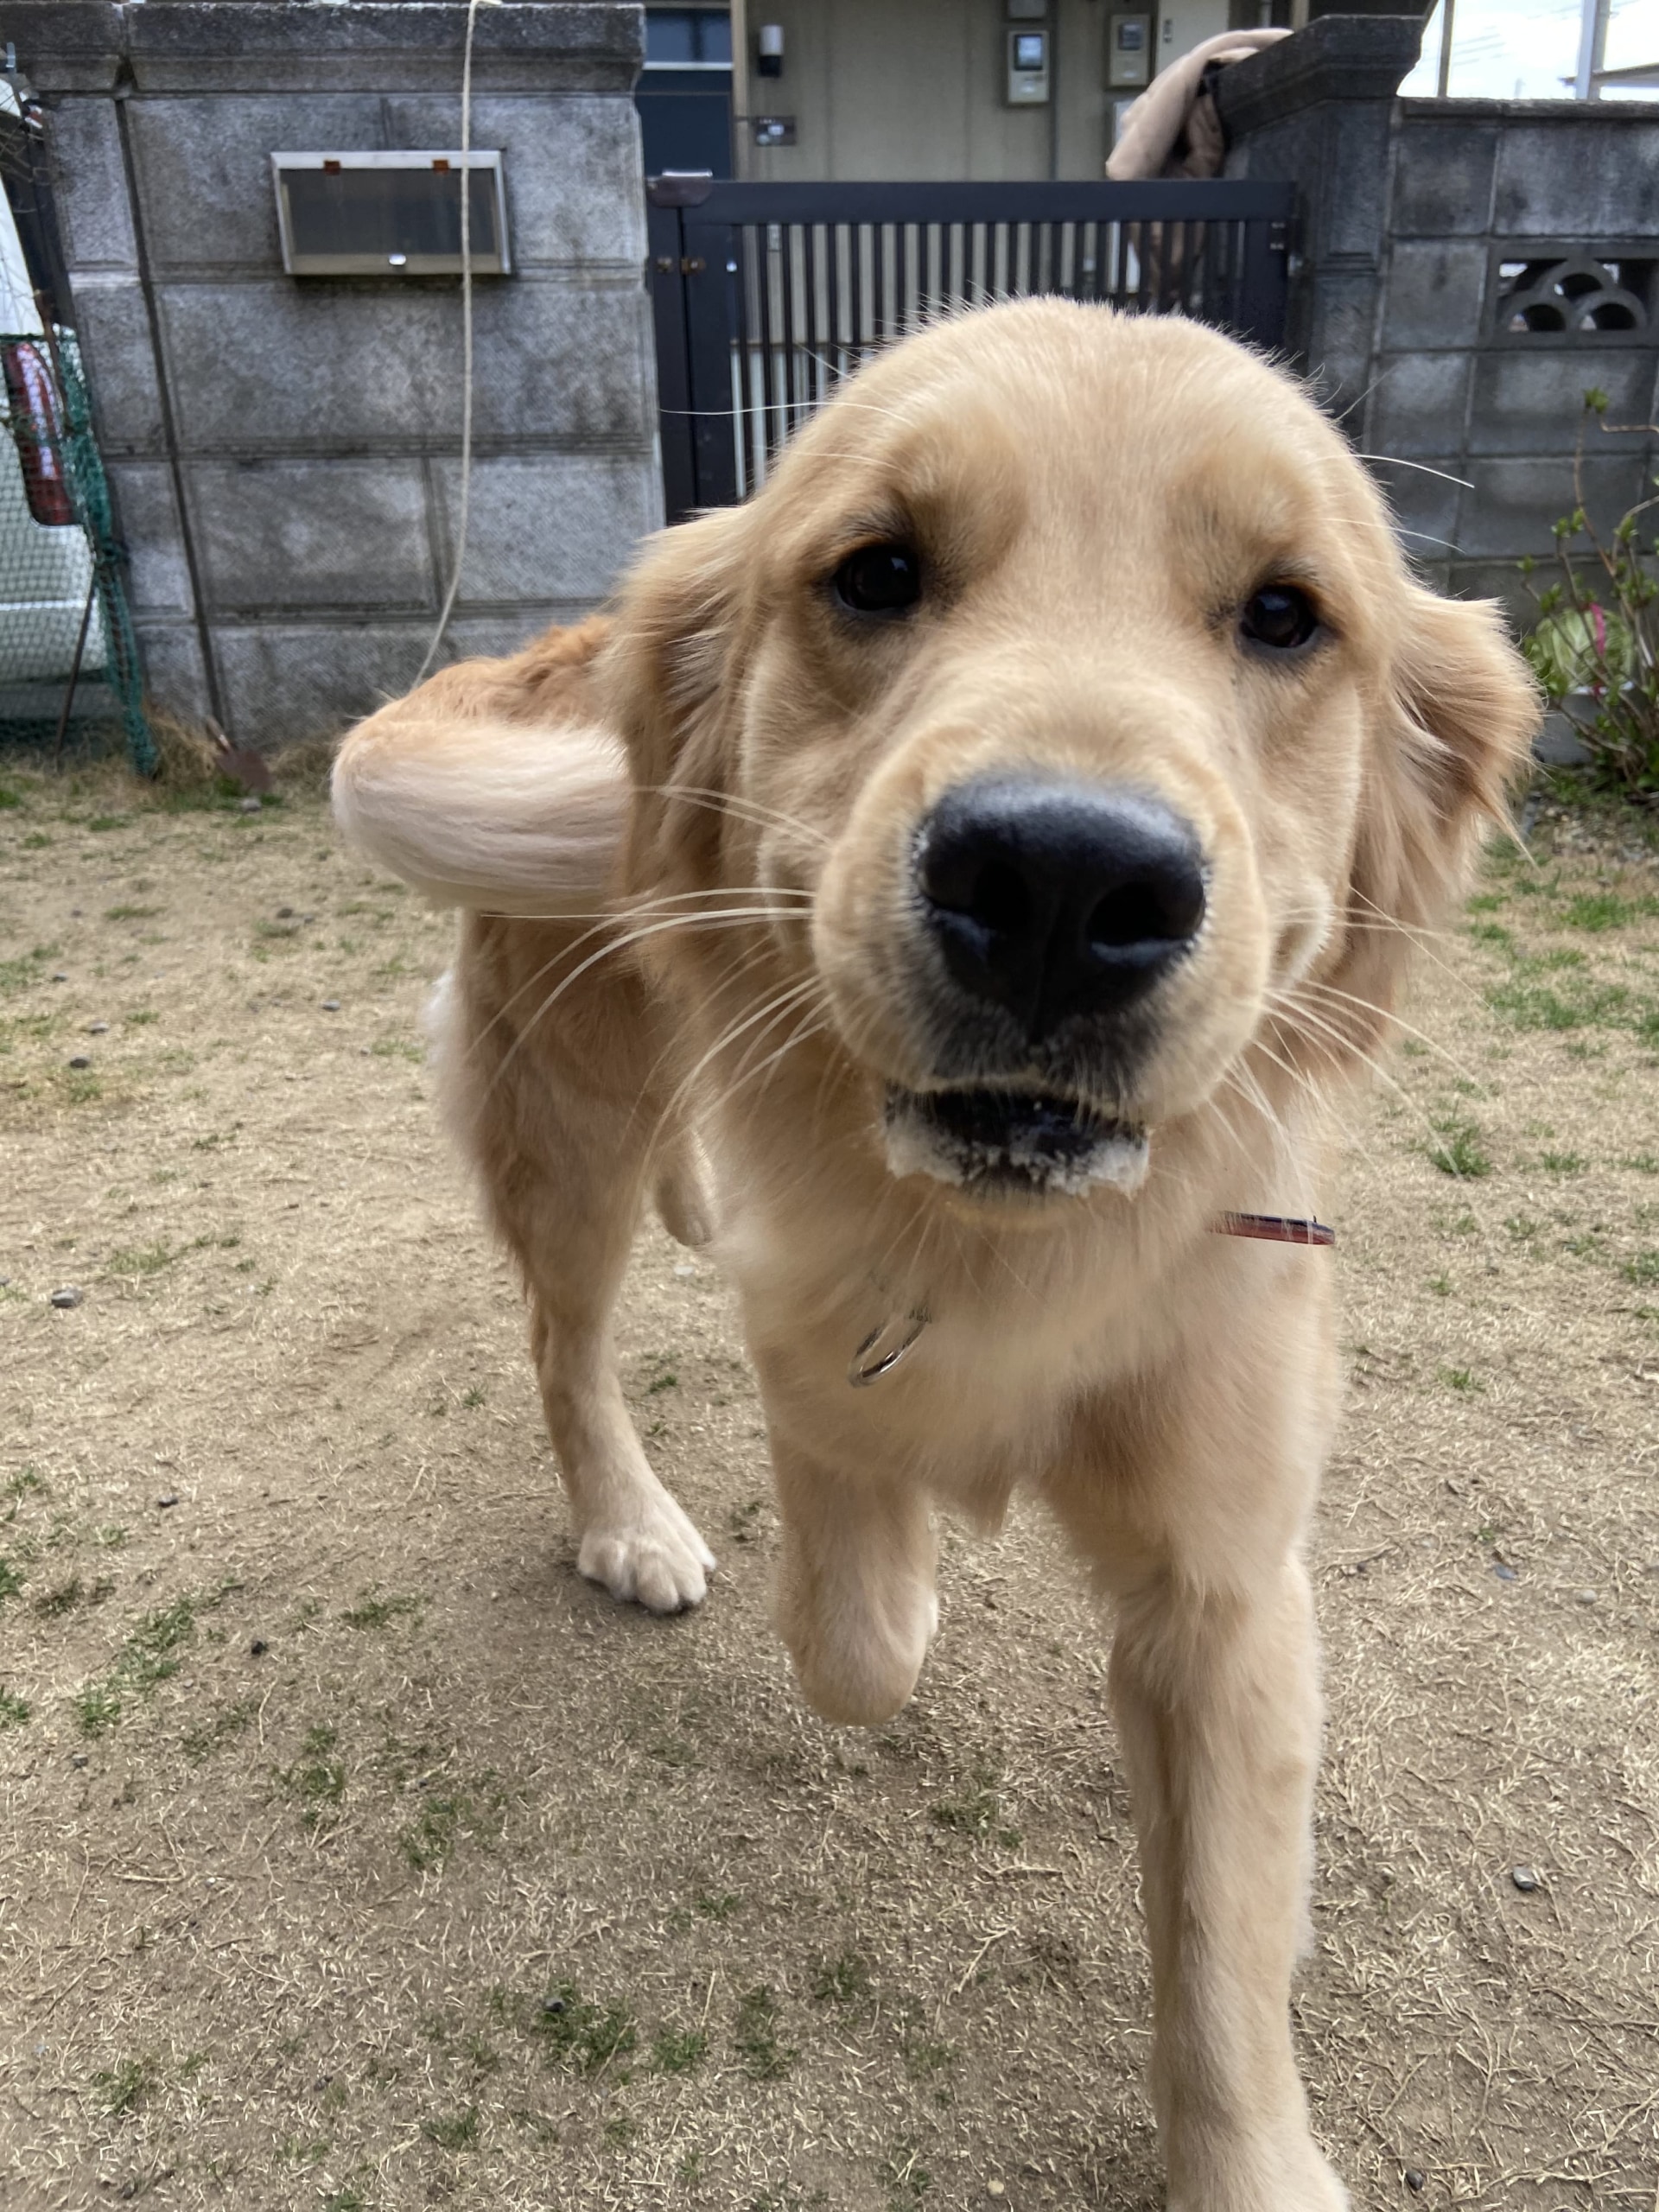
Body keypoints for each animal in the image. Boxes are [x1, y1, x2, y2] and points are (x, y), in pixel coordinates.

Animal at [332, 298, 1539, 2212]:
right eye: (876, 571)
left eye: (1286, 613)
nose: (1060, 881)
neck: (1008, 1239)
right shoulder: (812, 1324)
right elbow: (855, 1618)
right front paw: (900, 1572)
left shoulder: (1227, 1578)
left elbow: (1223, 1953)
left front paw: (1248, 2161)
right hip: (575, 1116)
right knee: (564, 1339)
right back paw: (628, 1521)